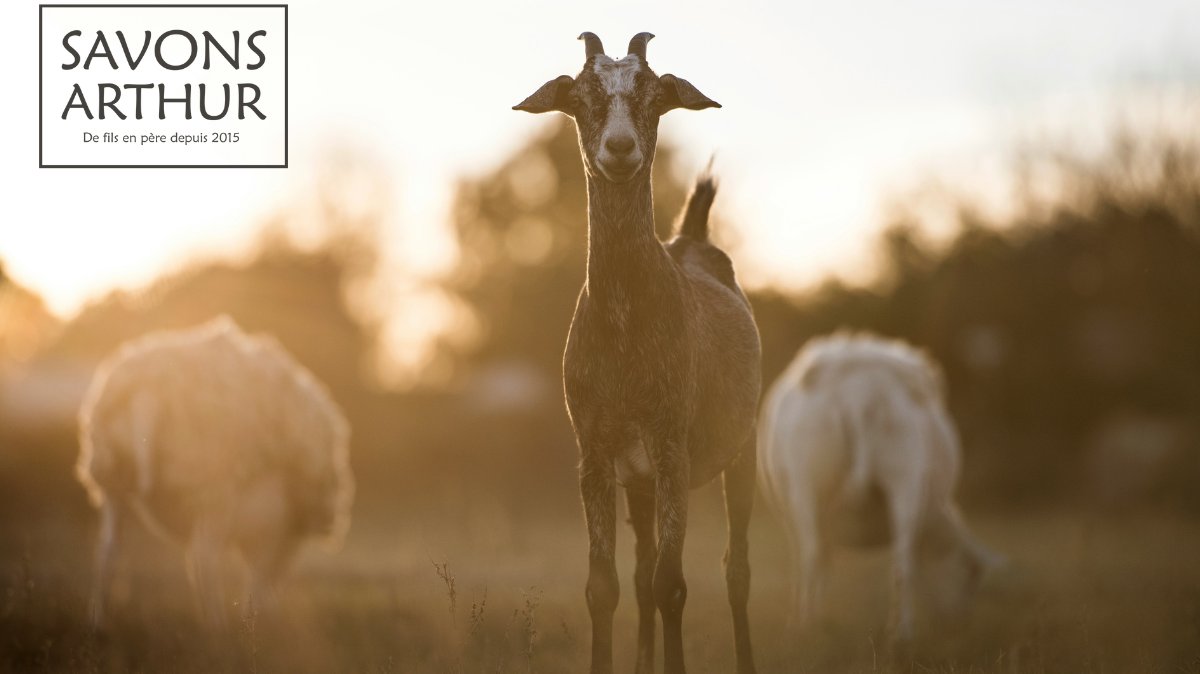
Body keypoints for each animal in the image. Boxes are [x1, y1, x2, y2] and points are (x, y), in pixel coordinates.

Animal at [77, 316, 354, 629]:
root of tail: (147, 388)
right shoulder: (271, 528)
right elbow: (257, 571)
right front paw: (260, 615)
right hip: (214, 486)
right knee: (204, 557)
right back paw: (217, 627)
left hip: (111, 478)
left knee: (107, 552)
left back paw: (99, 623)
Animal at [515, 32, 761, 674]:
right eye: (580, 98)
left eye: (655, 96)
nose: (620, 147)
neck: (625, 325)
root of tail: (693, 238)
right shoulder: (597, 453)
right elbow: (607, 586)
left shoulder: (671, 445)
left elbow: (673, 585)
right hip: (641, 483)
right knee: (643, 573)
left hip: (741, 448)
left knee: (736, 572)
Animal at [758, 333, 1003, 641]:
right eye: (972, 575)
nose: (959, 626)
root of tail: (861, 394)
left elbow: (815, 559)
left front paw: (807, 617)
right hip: (903, 474)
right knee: (898, 562)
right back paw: (898, 632)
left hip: (811, 477)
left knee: (819, 557)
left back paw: (815, 627)